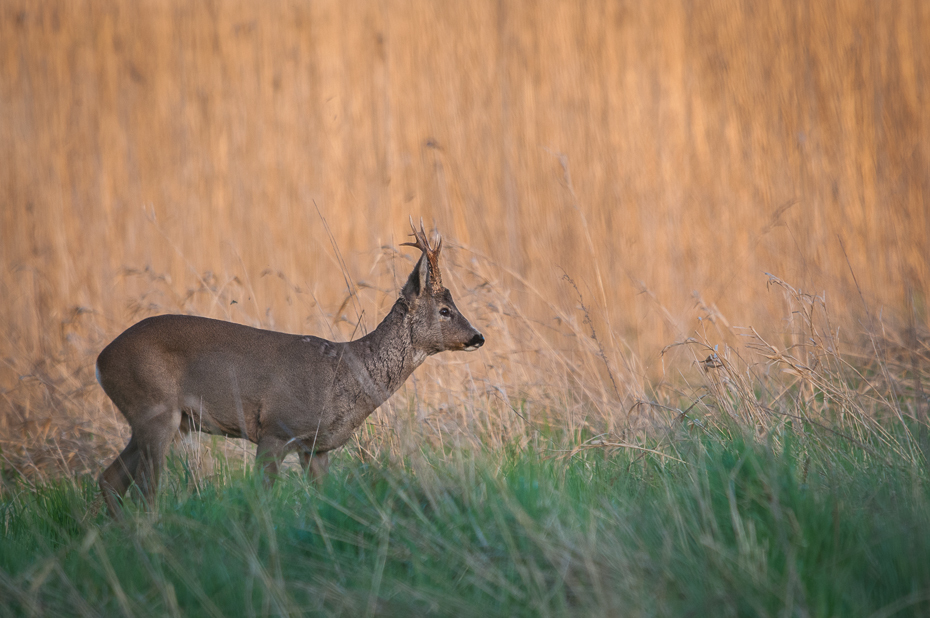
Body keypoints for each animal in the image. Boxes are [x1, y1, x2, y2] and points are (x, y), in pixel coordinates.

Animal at [96, 219, 486, 512]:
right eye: (445, 310)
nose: (478, 336)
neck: (345, 375)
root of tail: (101, 360)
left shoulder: (316, 448)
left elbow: (323, 499)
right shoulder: (276, 429)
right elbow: (261, 496)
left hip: (155, 418)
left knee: (110, 479)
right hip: (155, 409)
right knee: (146, 491)